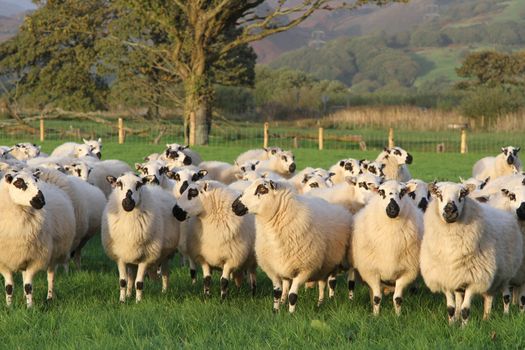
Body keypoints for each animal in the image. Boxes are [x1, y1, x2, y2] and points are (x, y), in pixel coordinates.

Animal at [102, 172, 180, 300]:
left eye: (139, 184)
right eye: (119, 183)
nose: (128, 203)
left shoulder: (146, 256)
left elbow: (139, 283)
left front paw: (138, 301)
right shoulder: (120, 256)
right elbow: (123, 281)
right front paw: (122, 300)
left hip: (166, 254)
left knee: (165, 273)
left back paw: (164, 292)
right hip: (131, 255)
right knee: (131, 277)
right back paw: (129, 294)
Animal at [231, 179, 350, 314]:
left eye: (262, 189)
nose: (234, 205)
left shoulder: (305, 269)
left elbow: (293, 295)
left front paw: (291, 314)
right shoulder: (272, 269)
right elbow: (276, 292)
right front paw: (275, 311)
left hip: (334, 263)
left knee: (331, 283)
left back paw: (330, 300)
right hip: (321, 265)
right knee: (319, 284)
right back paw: (319, 304)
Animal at [350, 180, 424, 314]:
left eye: (403, 192)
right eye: (381, 191)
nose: (392, 208)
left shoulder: (408, 272)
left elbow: (398, 299)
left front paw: (398, 316)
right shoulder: (371, 271)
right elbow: (377, 298)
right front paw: (375, 315)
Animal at [420, 183, 520, 326]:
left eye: (462, 194)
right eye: (439, 194)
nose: (450, 210)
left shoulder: (475, 279)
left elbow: (465, 309)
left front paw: (464, 327)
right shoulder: (445, 278)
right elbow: (450, 308)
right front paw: (452, 324)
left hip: (505, 273)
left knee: (505, 296)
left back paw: (503, 315)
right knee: (484, 296)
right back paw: (485, 318)